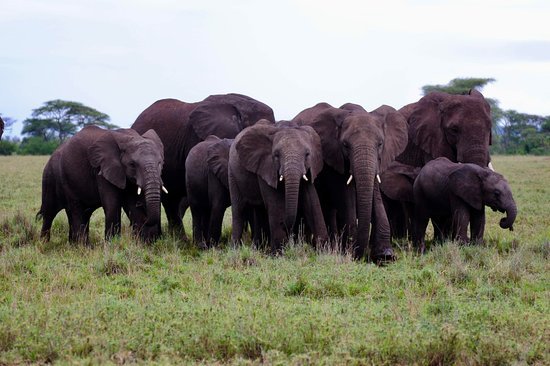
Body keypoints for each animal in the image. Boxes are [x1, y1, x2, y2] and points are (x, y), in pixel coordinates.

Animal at [229, 120, 328, 252]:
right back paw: (235, 250)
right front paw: (279, 253)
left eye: (307, 154)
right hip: (232, 172)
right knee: (238, 210)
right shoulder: (266, 167)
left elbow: (311, 200)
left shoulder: (309, 168)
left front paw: (324, 250)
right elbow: (276, 204)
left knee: (258, 210)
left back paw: (257, 249)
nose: (284, 225)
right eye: (276, 155)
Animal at [296, 104, 412, 262]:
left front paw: (385, 255)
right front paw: (350, 253)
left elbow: (375, 195)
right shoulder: (333, 157)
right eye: (345, 145)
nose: (360, 256)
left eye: (380, 144)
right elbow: (345, 197)